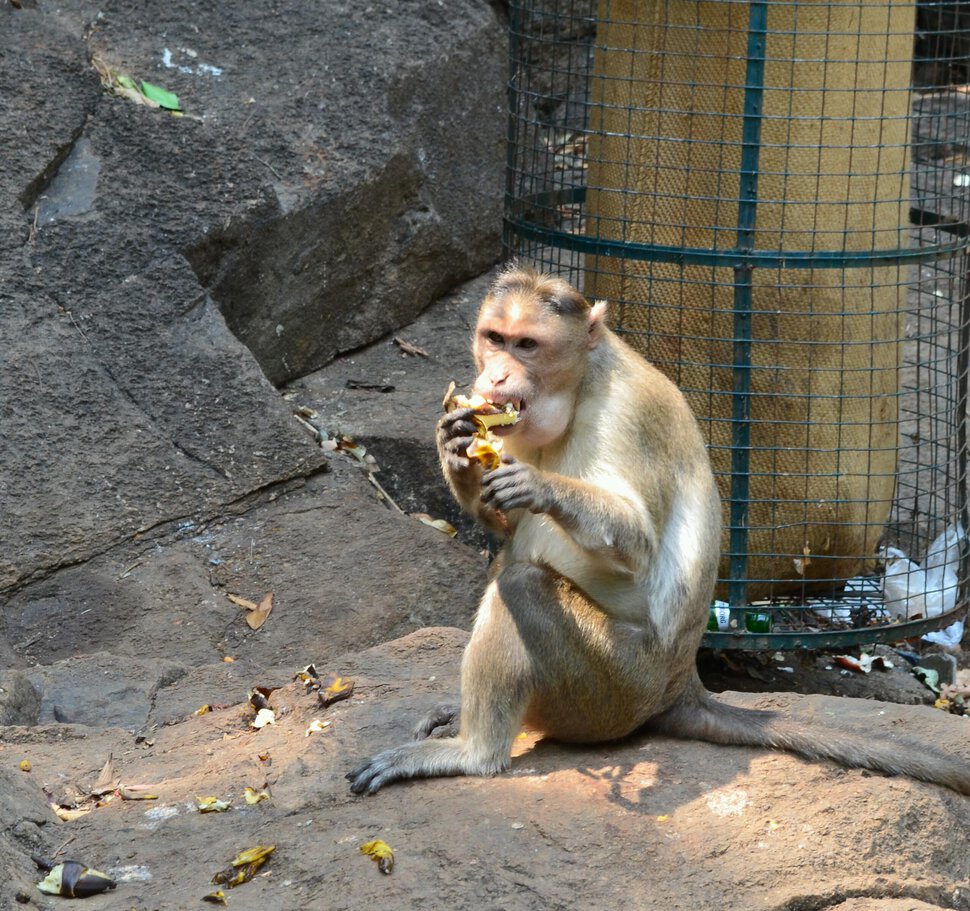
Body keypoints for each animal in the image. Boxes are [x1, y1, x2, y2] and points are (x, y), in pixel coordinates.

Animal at [348, 266, 968, 800]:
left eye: (527, 345)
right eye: (494, 338)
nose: (495, 376)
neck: (580, 382)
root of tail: (679, 685)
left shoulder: (625, 413)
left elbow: (635, 543)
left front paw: (540, 485)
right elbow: (504, 518)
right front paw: (455, 446)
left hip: (615, 686)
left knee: (521, 584)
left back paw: (473, 753)